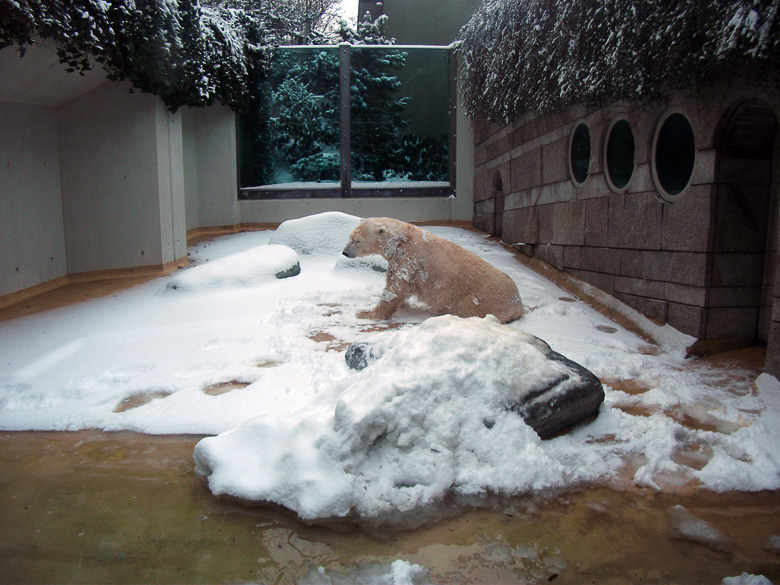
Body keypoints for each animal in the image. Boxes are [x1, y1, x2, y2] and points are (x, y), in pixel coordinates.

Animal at [342, 217, 524, 322]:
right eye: (349, 237)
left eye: (357, 240)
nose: (345, 252)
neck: (402, 241)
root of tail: (518, 305)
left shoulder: (410, 258)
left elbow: (396, 288)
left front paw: (365, 312)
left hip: (477, 298)